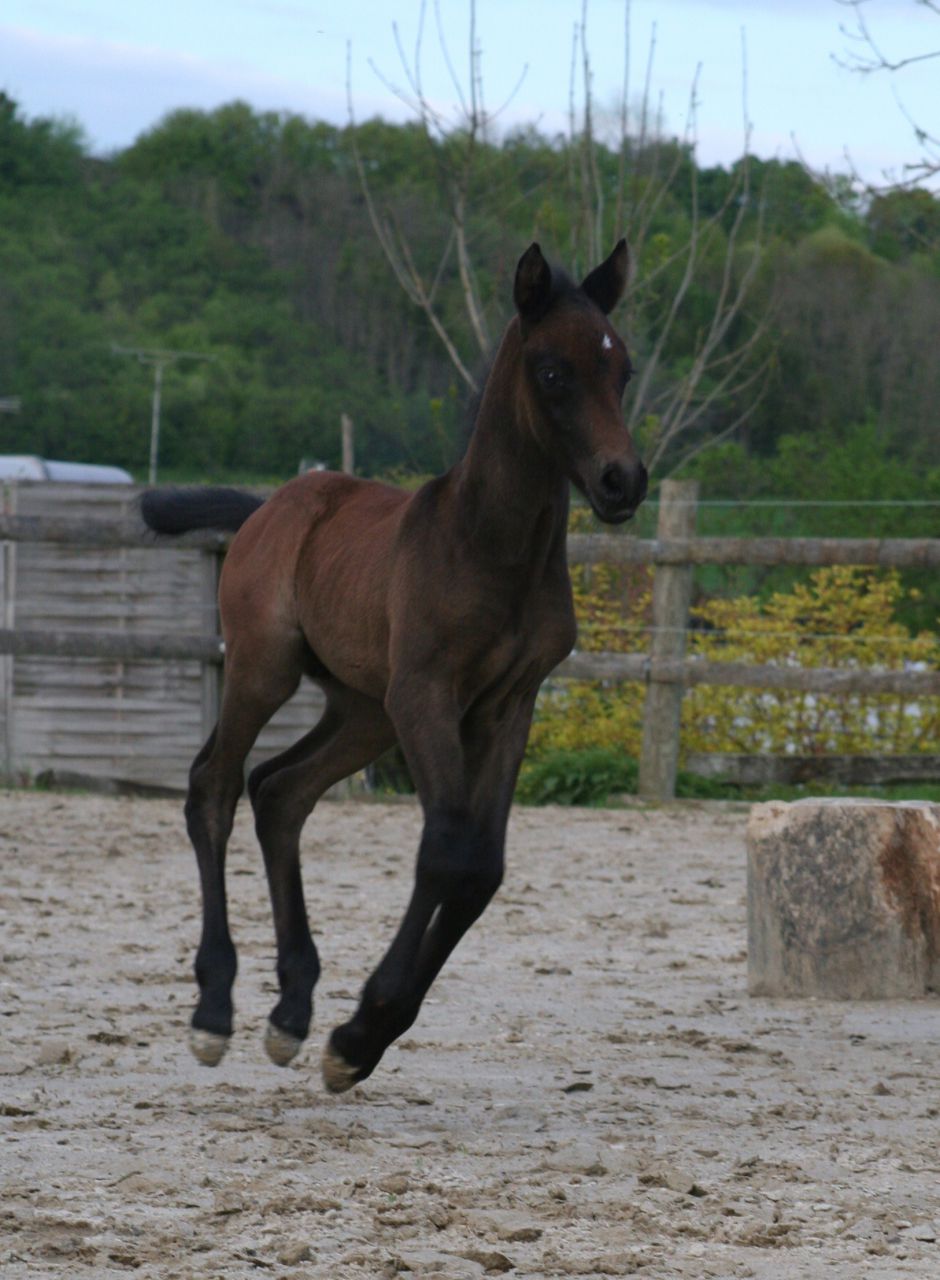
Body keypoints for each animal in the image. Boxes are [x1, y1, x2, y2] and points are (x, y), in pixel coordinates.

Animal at [140, 240, 647, 1093]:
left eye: (624, 367)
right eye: (551, 370)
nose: (623, 481)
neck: (492, 548)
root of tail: (269, 508)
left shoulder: (510, 705)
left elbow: (483, 866)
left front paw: (360, 1035)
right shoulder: (427, 697)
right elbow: (448, 848)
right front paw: (359, 1030)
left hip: (361, 709)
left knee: (280, 792)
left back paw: (291, 1012)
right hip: (266, 668)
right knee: (215, 784)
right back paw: (214, 1010)